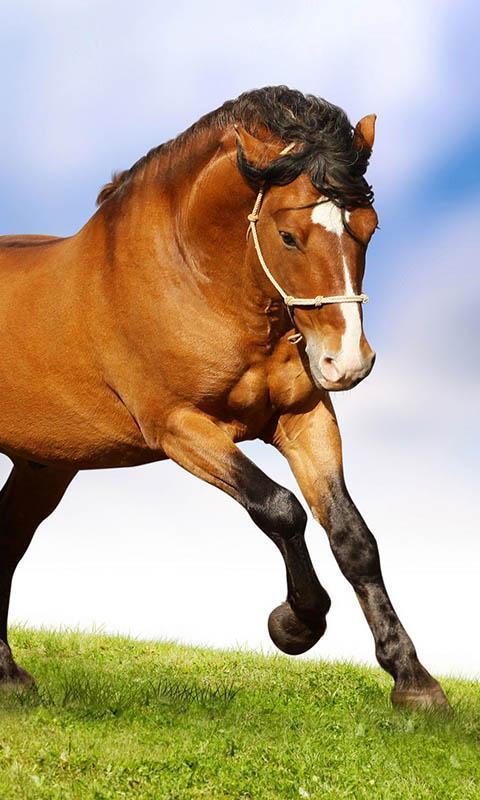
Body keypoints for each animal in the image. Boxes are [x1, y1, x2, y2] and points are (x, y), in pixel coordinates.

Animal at [0, 86, 448, 709]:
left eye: (370, 227)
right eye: (288, 236)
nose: (347, 363)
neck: (197, 280)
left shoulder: (303, 418)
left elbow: (352, 537)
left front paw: (414, 681)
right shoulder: (180, 427)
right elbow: (280, 508)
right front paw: (295, 624)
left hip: (43, 463)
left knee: (6, 540)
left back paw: (9, 674)